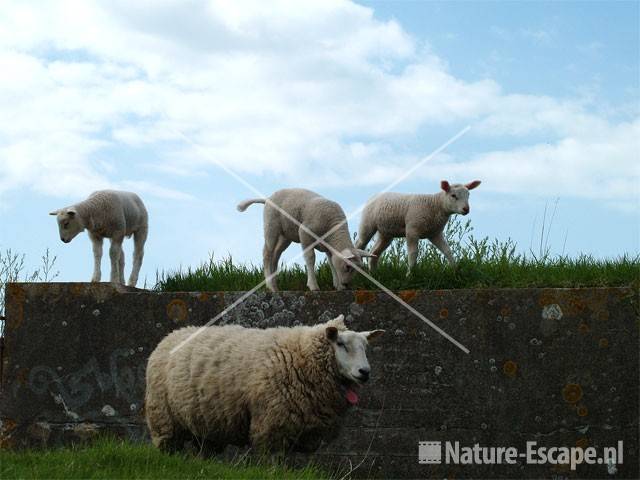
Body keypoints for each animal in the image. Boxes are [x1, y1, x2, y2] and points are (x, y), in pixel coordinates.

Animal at [146, 316, 384, 454]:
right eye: (341, 344)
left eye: (365, 347)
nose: (365, 372)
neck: (301, 356)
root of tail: (171, 334)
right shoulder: (271, 424)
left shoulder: (303, 430)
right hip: (163, 418)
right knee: (169, 448)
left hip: (205, 422)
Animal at [238, 189, 372, 290]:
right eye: (348, 267)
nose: (347, 285)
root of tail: (267, 199)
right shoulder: (304, 233)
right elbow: (310, 258)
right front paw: (313, 286)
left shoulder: (328, 246)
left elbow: (331, 262)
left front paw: (338, 285)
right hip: (271, 226)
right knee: (267, 254)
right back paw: (270, 285)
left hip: (285, 236)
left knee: (275, 256)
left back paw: (275, 285)